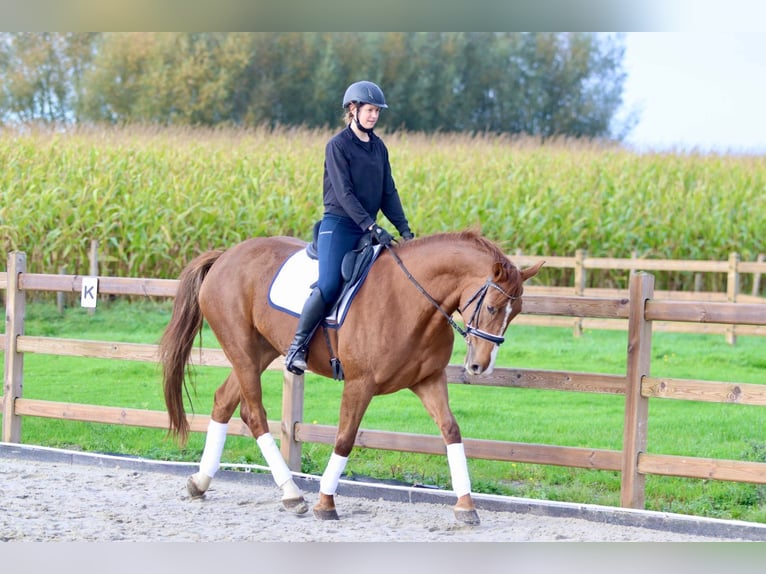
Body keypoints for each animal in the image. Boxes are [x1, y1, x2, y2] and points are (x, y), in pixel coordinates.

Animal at [160, 231, 544, 528]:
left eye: (517, 312)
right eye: (492, 307)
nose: (481, 366)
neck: (410, 300)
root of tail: (225, 256)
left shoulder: (429, 380)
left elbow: (451, 431)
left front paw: (466, 506)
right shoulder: (360, 383)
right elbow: (345, 438)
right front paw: (325, 503)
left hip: (260, 352)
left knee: (224, 401)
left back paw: (200, 481)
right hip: (241, 349)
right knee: (254, 414)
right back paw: (292, 494)